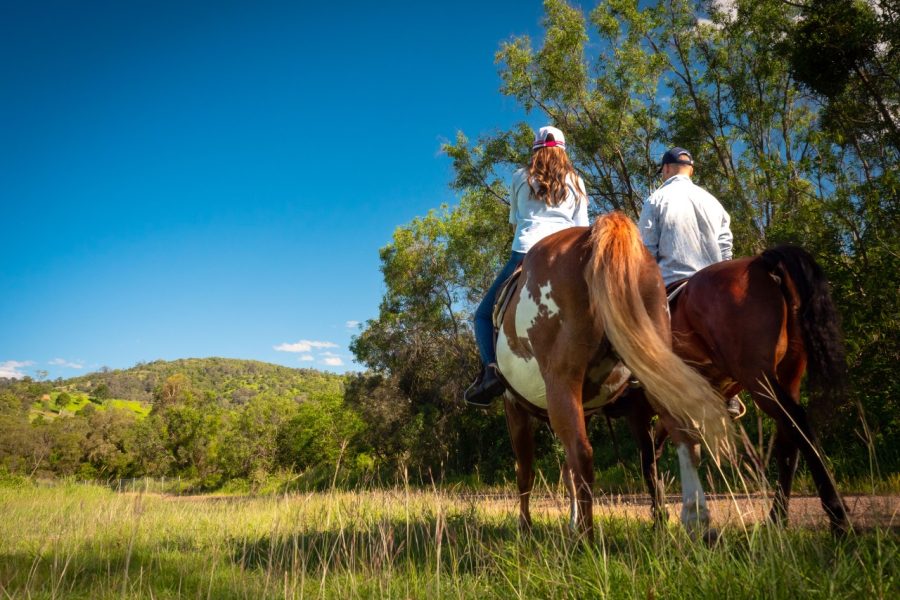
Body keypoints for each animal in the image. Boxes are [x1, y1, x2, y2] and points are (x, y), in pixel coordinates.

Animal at [496, 211, 736, 540]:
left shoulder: (514, 405)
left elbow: (526, 471)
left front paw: (526, 528)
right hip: (654, 374)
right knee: (681, 436)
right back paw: (694, 517)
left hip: (562, 384)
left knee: (582, 455)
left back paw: (586, 538)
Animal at [616, 244, 856, 536]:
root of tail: (764, 264)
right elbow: (662, 452)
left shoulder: (639, 413)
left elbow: (649, 459)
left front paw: (661, 519)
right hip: (787, 376)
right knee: (789, 443)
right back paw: (777, 518)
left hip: (759, 379)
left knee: (798, 425)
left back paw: (837, 516)